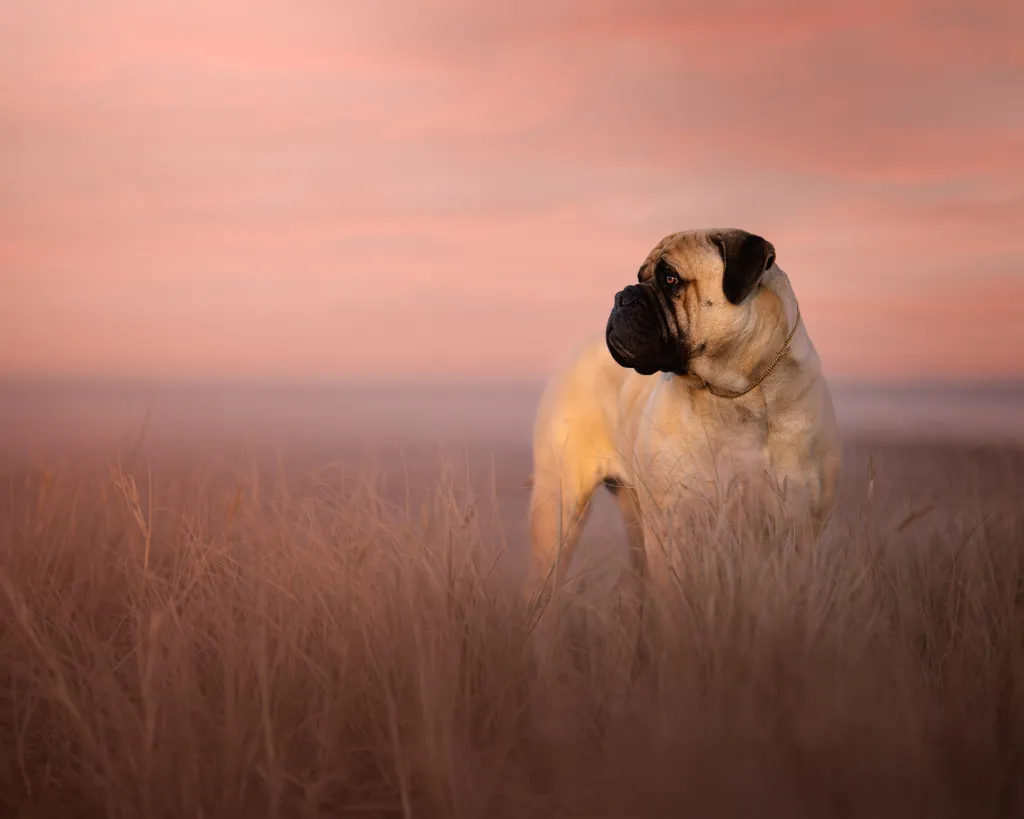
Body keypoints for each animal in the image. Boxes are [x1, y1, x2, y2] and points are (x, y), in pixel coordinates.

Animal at [524, 227, 843, 606]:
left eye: (670, 278)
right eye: (640, 277)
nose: (622, 297)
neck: (739, 393)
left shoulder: (800, 532)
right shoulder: (674, 528)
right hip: (559, 508)